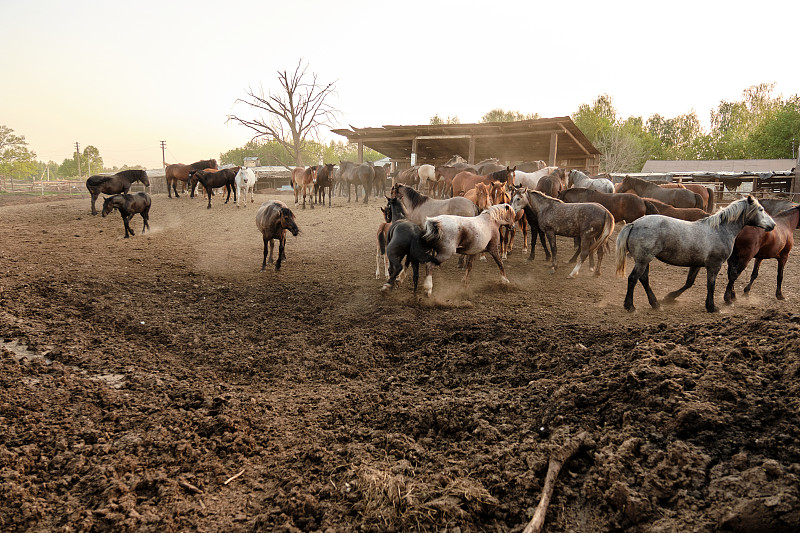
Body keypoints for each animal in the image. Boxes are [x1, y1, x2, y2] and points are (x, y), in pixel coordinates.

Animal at [612, 195, 776, 312]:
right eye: (761, 209)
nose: (773, 225)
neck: (719, 230)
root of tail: (634, 224)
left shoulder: (696, 264)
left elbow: (689, 282)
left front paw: (670, 297)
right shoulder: (714, 265)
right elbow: (711, 285)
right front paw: (712, 307)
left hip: (645, 260)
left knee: (644, 279)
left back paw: (656, 304)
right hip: (643, 260)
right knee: (633, 279)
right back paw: (630, 306)